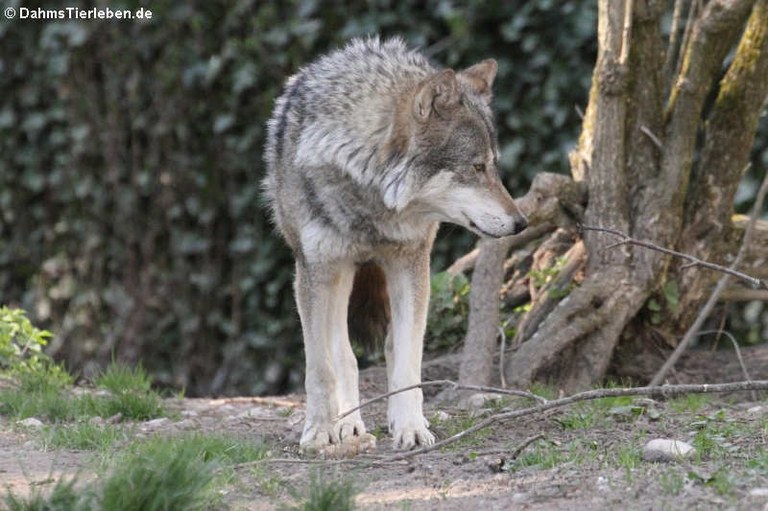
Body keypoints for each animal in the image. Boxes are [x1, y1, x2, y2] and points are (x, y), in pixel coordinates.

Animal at [264, 37, 528, 452]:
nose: (522, 223)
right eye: (476, 167)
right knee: (343, 354)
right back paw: (349, 424)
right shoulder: (313, 272)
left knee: (390, 347)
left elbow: (406, 362)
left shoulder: (411, 263)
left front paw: (411, 428)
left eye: (494, 166)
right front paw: (319, 431)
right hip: (338, 275)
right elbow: (320, 366)